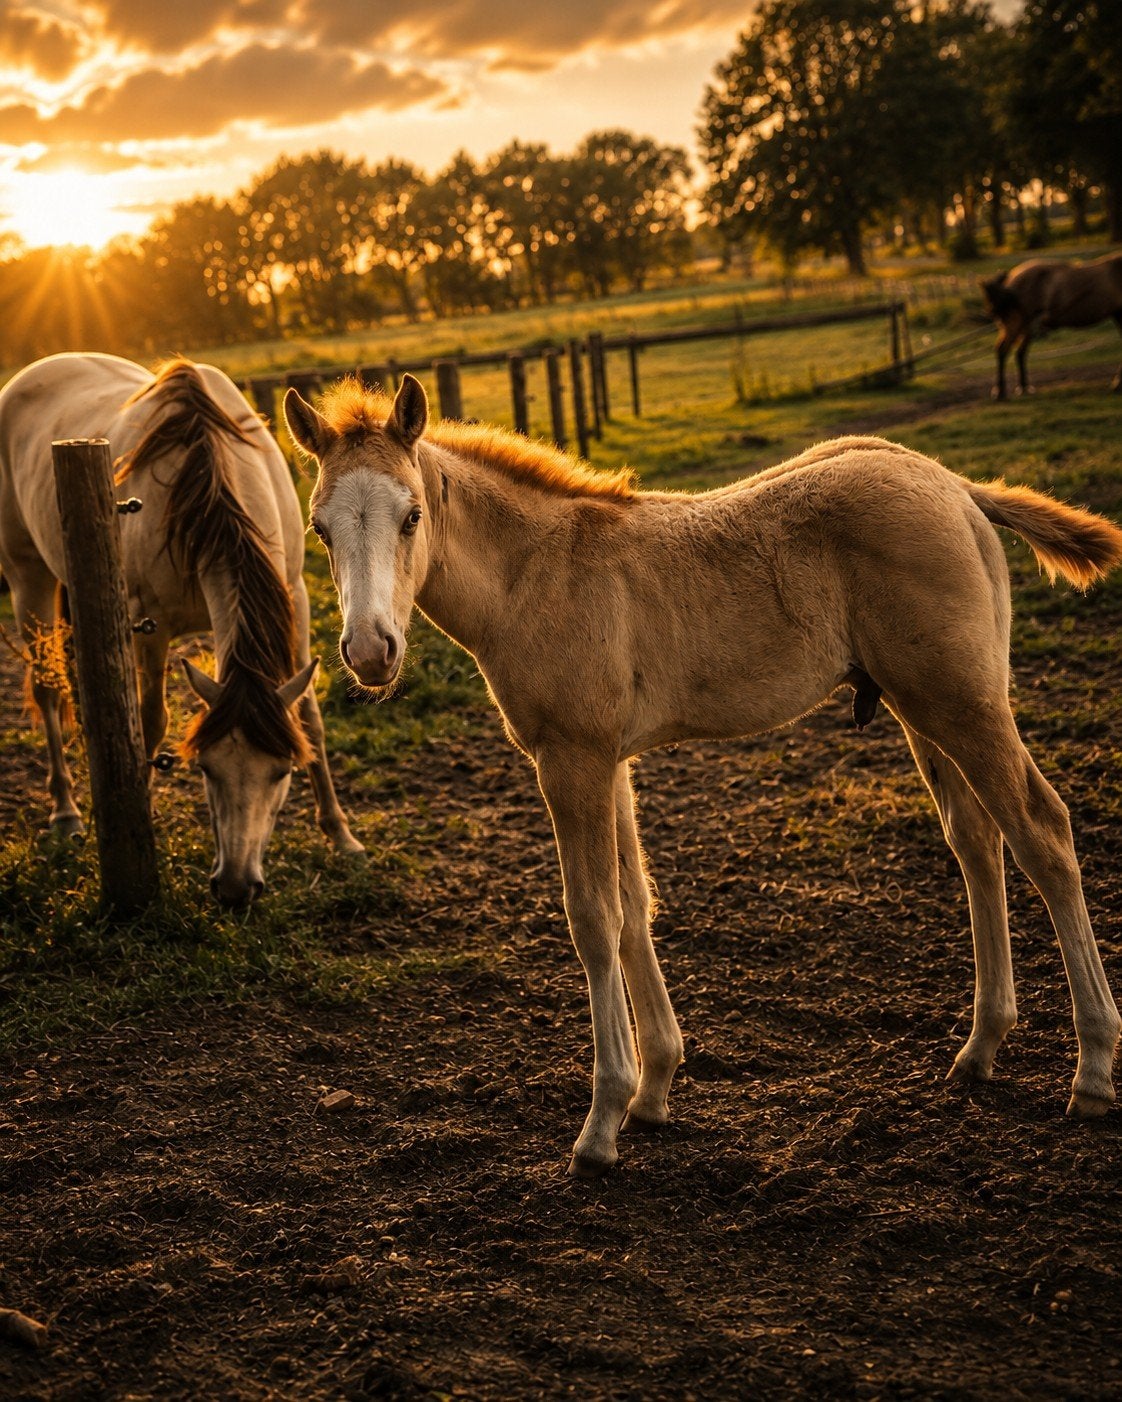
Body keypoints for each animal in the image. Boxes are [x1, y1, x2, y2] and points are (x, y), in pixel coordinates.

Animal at [0, 352, 363, 905]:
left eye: (281, 772)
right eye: (206, 769)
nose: (235, 889)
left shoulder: (295, 598)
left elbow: (310, 719)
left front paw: (340, 833)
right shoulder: (149, 626)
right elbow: (150, 723)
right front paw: (136, 827)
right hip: (28, 578)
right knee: (46, 689)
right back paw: (65, 811)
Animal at [284, 375, 1122, 1177]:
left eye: (412, 516)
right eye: (319, 529)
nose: (370, 652)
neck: (537, 573)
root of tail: (957, 488)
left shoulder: (572, 760)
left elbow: (593, 919)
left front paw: (601, 1123)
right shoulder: (609, 760)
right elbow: (634, 907)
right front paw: (654, 1088)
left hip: (962, 703)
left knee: (1042, 832)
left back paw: (1092, 1068)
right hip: (921, 708)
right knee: (977, 839)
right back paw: (981, 1047)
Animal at [981, 250, 1122, 399]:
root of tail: (1011, 279)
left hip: (1026, 326)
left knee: (1019, 353)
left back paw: (1023, 388)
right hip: (1016, 324)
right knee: (1003, 350)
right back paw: (1000, 392)